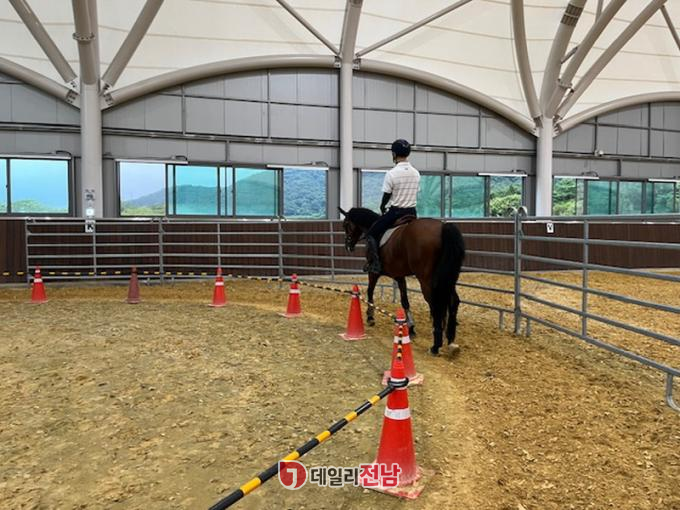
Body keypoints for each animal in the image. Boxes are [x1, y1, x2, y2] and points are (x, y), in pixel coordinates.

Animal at [338, 207, 465, 356]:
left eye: (346, 225)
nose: (348, 246)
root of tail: (443, 227)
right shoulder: (399, 275)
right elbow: (405, 301)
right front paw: (411, 327)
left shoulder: (374, 272)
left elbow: (370, 291)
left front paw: (370, 317)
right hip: (447, 279)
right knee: (453, 301)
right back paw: (451, 341)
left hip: (426, 280)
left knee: (436, 305)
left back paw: (435, 346)